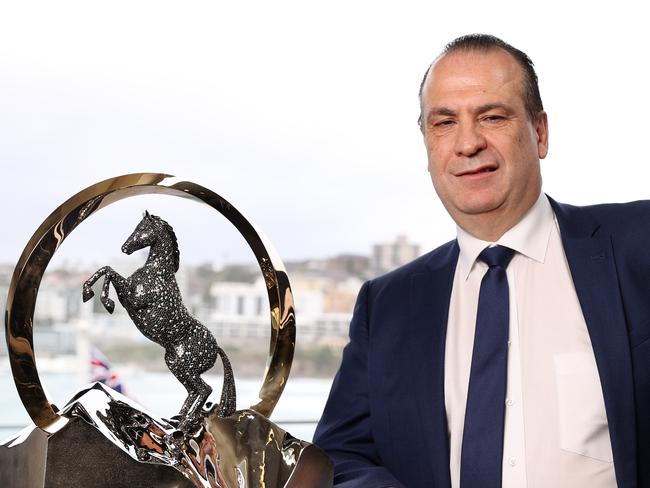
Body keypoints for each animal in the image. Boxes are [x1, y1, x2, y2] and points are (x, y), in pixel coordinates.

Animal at [82, 212, 235, 428]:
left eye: (142, 229)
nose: (124, 248)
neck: (157, 272)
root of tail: (216, 347)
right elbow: (106, 270)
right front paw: (88, 293)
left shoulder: (132, 299)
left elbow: (110, 272)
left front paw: (106, 302)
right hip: (175, 365)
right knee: (193, 391)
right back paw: (175, 422)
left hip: (187, 368)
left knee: (204, 389)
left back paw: (184, 424)